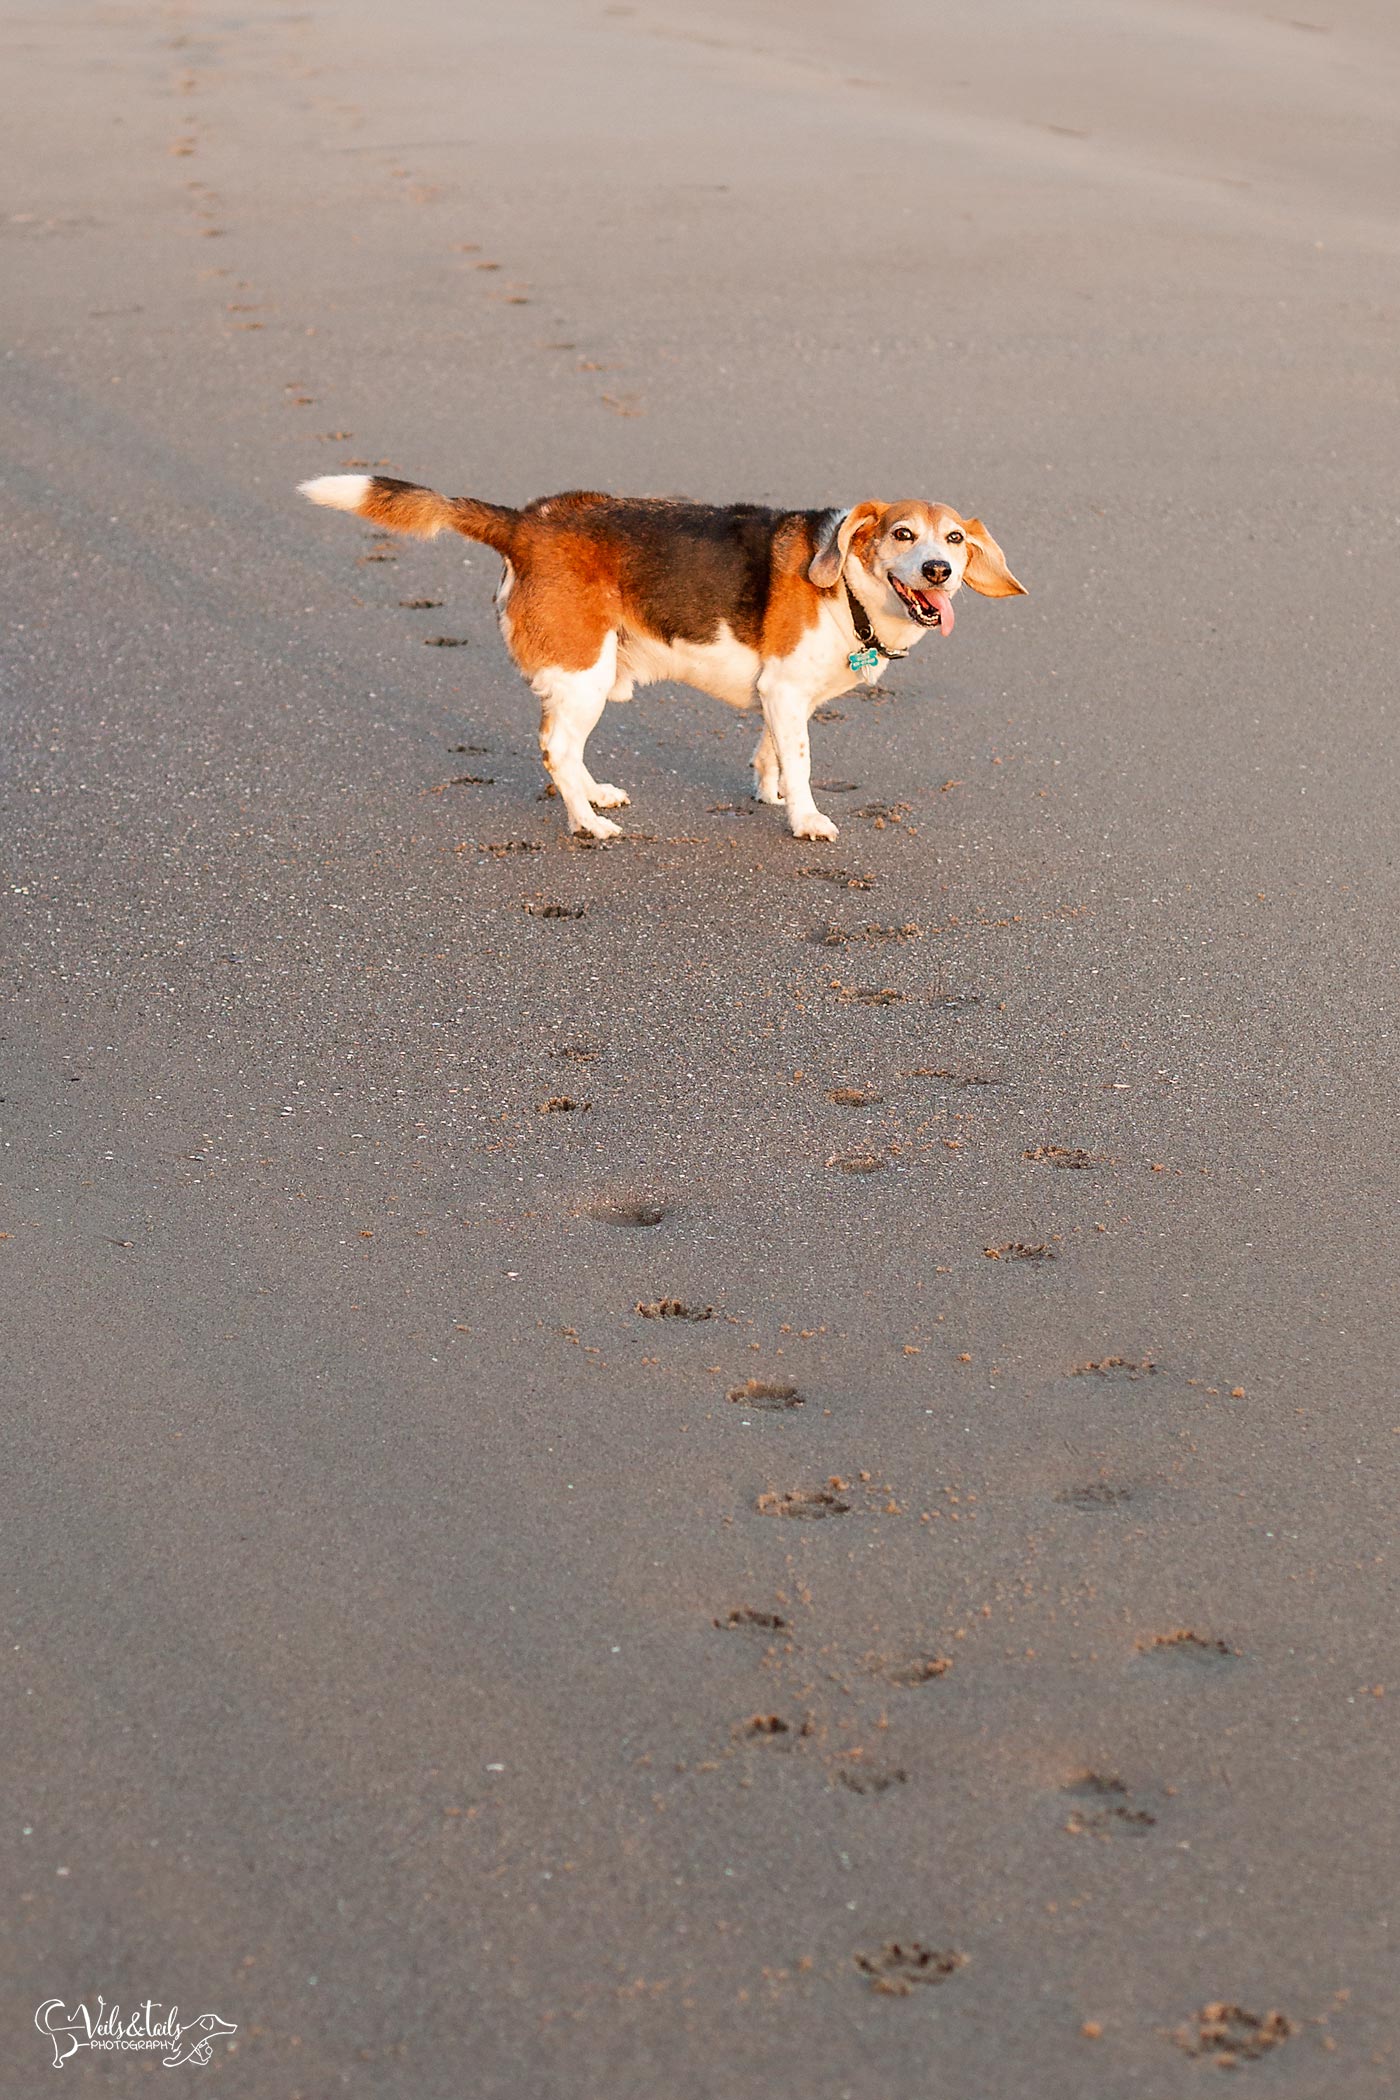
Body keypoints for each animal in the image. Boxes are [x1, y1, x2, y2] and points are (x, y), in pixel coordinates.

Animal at [302, 472, 1024, 839]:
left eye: (954, 539)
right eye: (902, 534)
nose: (937, 571)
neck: (849, 586)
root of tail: (525, 523)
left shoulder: (779, 695)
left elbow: (771, 750)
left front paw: (768, 794)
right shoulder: (788, 693)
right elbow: (802, 761)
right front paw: (806, 818)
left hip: (587, 677)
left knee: (564, 746)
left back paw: (595, 795)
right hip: (585, 672)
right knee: (555, 749)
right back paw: (588, 824)